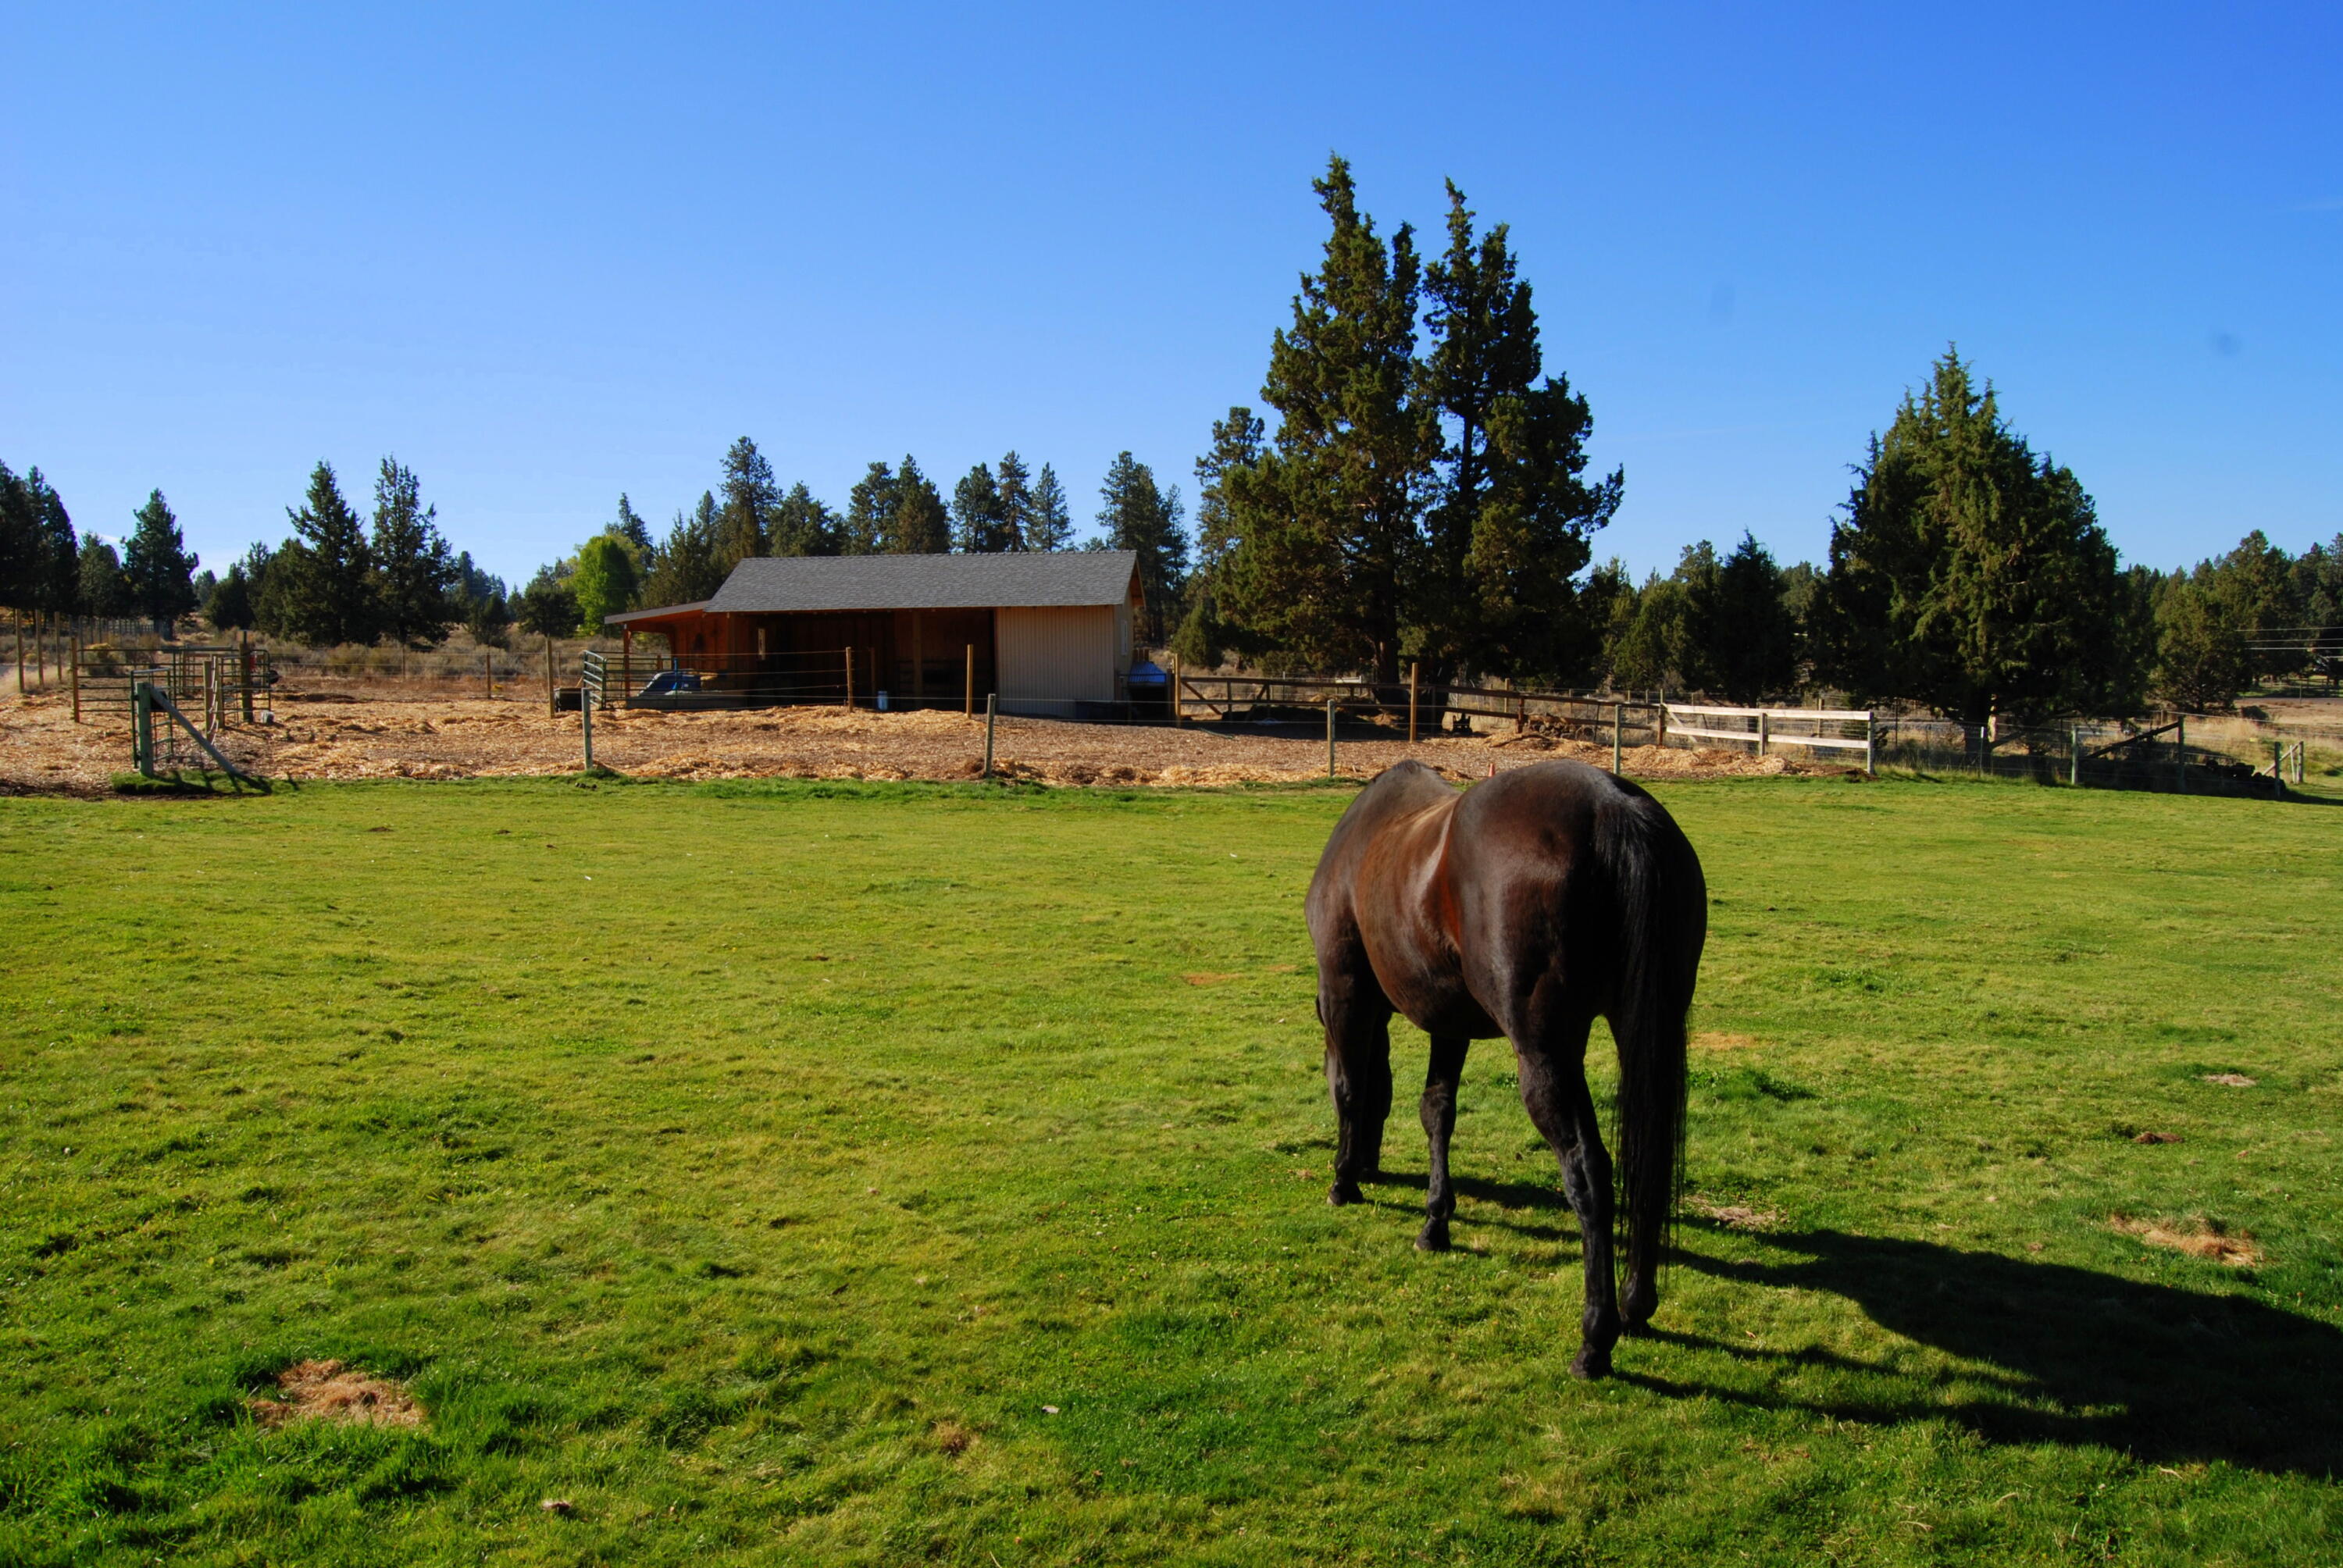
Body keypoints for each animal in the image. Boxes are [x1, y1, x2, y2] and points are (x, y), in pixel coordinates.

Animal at [1305, 758, 1707, 1378]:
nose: (1370, 1166)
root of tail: (1610, 805)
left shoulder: (1344, 988)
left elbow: (1351, 1087)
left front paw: (1343, 1180)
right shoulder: (1449, 1020)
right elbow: (1436, 1111)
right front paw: (1434, 1222)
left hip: (1545, 1054)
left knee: (1589, 1171)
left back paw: (1596, 1340)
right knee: (1650, 1156)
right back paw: (1637, 1305)